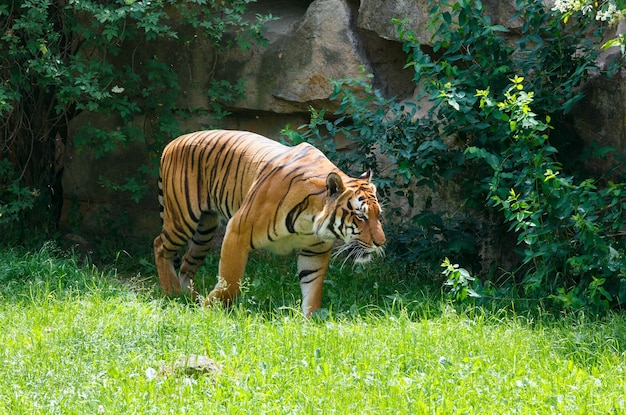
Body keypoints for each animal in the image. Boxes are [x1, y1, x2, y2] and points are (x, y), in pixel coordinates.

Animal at [152, 129, 386, 316]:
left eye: (378, 215)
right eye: (361, 216)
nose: (381, 243)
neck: (310, 222)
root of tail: (173, 142)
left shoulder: (314, 252)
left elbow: (313, 288)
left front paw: (309, 321)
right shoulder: (237, 231)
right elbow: (231, 281)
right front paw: (209, 309)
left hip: (205, 230)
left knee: (187, 263)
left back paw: (188, 298)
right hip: (183, 218)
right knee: (160, 246)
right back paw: (172, 293)